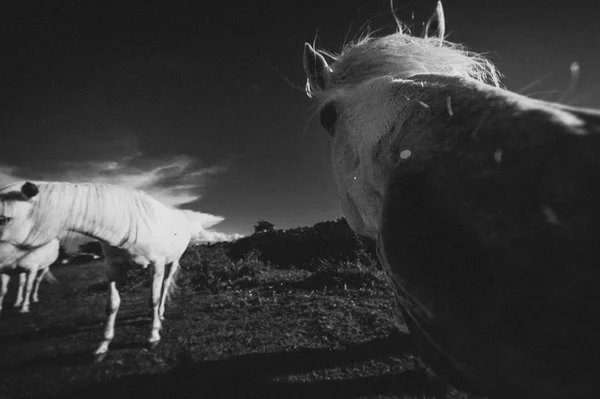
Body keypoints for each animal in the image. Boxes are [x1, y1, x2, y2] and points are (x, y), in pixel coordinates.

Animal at [0, 181, 192, 360]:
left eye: (4, 218)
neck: (129, 225)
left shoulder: (157, 264)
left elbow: (153, 299)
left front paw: (153, 336)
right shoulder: (113, 268)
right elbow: (112, 305)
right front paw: (103, 346)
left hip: (172, 262)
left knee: (165, 286)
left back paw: (160, 314)